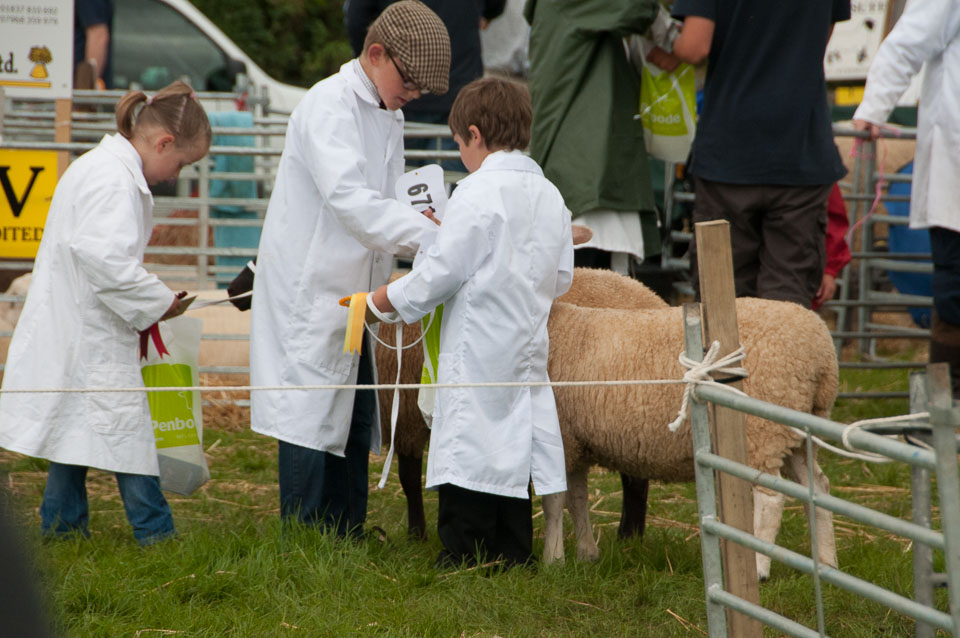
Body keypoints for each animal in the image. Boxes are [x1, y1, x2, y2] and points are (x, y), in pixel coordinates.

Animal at [540, 300, 840, 580]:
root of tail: (820, 350)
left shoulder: (561, 437)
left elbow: (553, 501)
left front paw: (553, 559)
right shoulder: (576, 443)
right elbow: (576, 498)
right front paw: (586, 554)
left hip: (762, 430)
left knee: (770, 498)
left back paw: (758, 568)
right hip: (796, 433)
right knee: (816, 487)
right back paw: (826, 562)